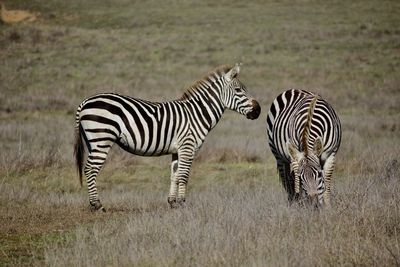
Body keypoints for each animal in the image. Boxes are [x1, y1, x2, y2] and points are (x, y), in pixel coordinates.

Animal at [74, 63, 262, 213]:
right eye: (238, 90)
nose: (258, 110)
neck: (196, 114)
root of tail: (85, 102)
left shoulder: (176, 150)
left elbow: (175, 175)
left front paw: (172, 203)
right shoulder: (188, 147)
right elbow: (184, 176)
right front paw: (182, 203)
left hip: (92, 142)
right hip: (101, 140)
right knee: (90, 169)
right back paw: (97, 205)